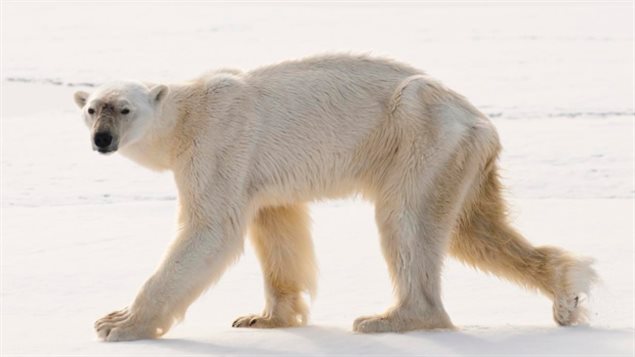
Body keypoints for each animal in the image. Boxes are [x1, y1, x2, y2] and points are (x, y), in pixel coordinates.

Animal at [73, 52, 596, 340]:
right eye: (92, 108)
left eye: (124, 108)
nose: (102, 139)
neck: (185, 116)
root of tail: (479, 121)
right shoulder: (256, 172)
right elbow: (277, 226)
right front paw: (264, 318)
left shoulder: (217, 144)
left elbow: (210, 229)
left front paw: (117, 323)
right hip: (460, 157)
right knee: (473, 230)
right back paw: (566, 292)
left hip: (419, 133)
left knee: (406, 219)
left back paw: (390, 318)